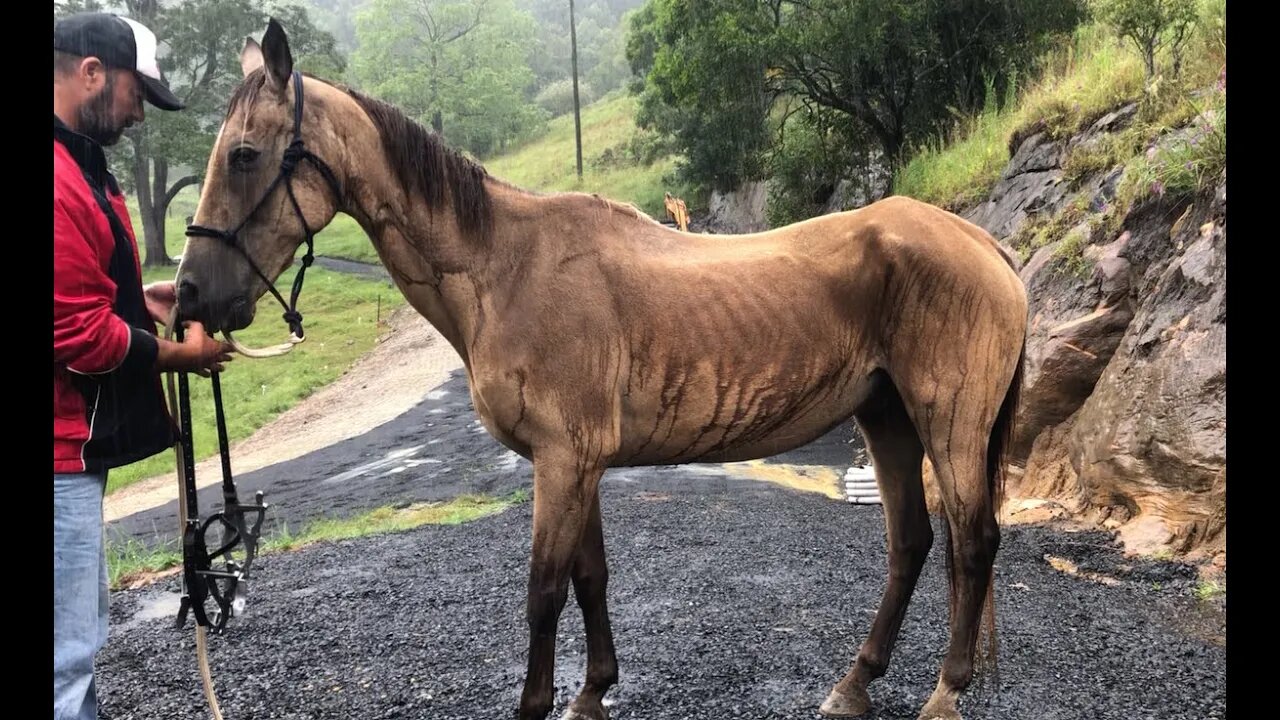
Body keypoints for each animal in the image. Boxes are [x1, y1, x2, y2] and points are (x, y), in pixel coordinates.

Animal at [172, 19, 1029, 717]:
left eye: (244, 155)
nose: (189, 296)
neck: (504, 266)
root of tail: (983, 244)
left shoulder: (563, 460)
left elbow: (544, 592)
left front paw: (541, 703)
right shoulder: (575, 462)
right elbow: (590, 578)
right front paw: (592, 693)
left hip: (947, 424)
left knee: (973, 541)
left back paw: (945, 693)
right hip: (887, 418)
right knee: (912, 543)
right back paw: (854, 684)